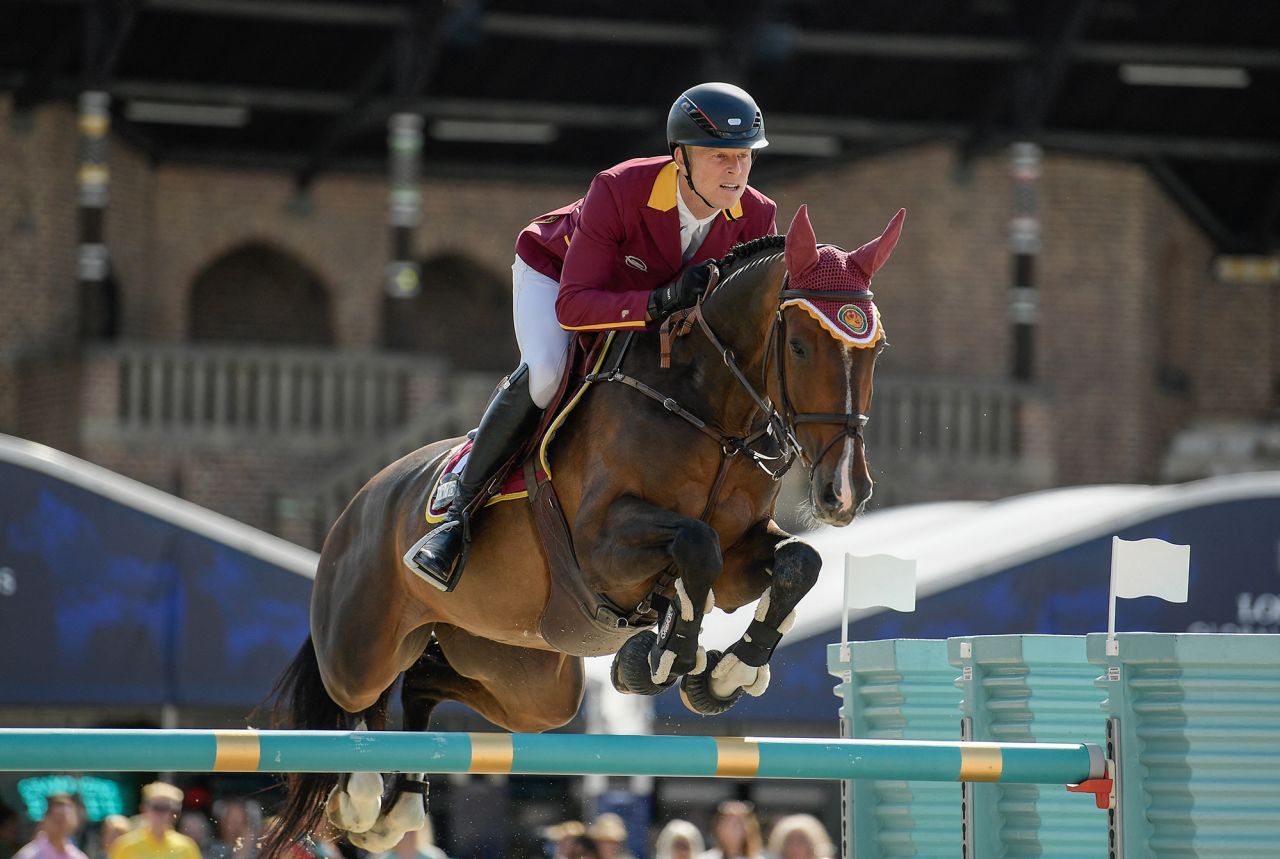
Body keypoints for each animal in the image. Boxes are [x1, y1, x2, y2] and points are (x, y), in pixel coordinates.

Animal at [259, 204, 906, 855]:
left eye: (876, 349)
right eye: (797, 346)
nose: (844, 493)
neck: (710, 411)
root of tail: (358, 504)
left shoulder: (741, 556)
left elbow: (798, 563)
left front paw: (728, 674)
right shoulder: (602, 547)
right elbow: (695, 547)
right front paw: (663, 659)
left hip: (526, 679)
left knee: (423, 681)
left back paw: (400, 808)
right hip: (363, 644)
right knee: (357, 697)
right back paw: (361, 793)